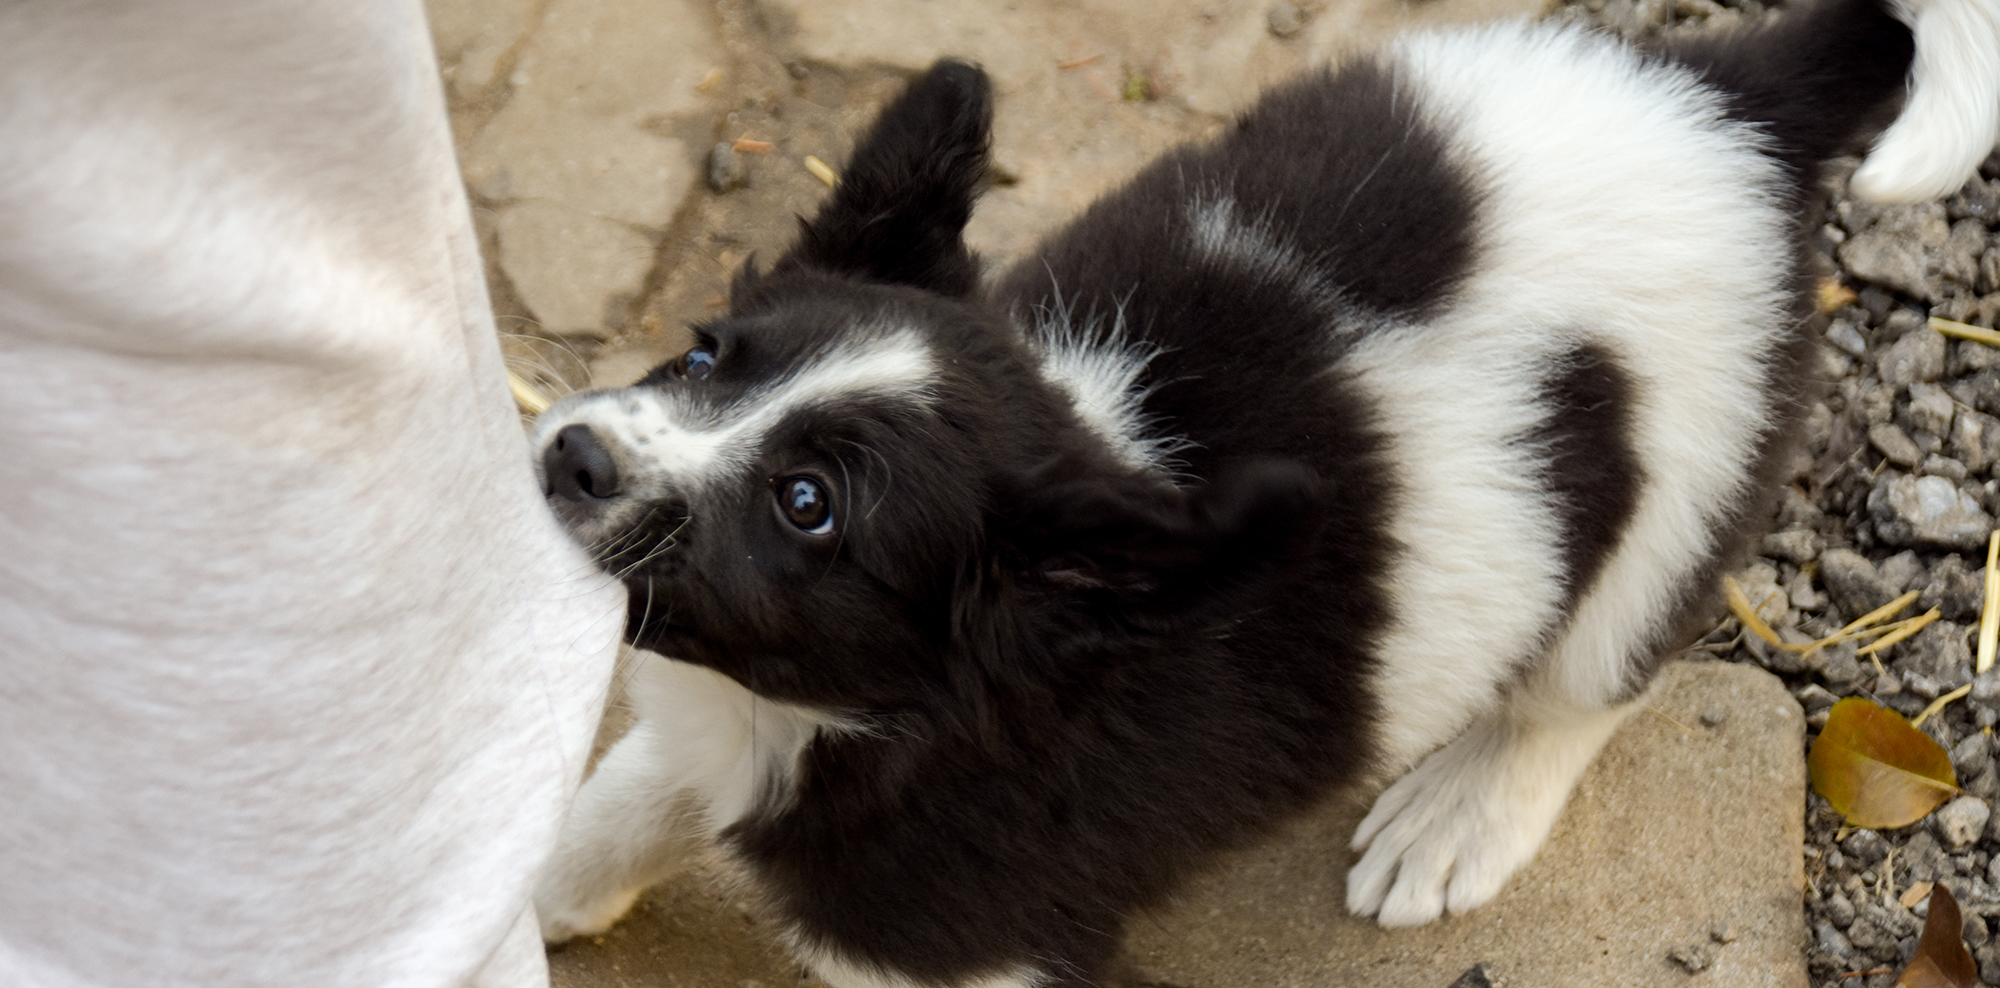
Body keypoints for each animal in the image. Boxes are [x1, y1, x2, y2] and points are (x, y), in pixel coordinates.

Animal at [532, 1, 2000, 980]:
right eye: (707, 354)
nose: (569, 455)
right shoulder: (713, 717)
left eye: (809, 506)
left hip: (1689, 474)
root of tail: (1733, 95)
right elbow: (612, 806)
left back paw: (1461, 813)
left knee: (1594, 672)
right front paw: (526, 893)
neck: (858, 715)